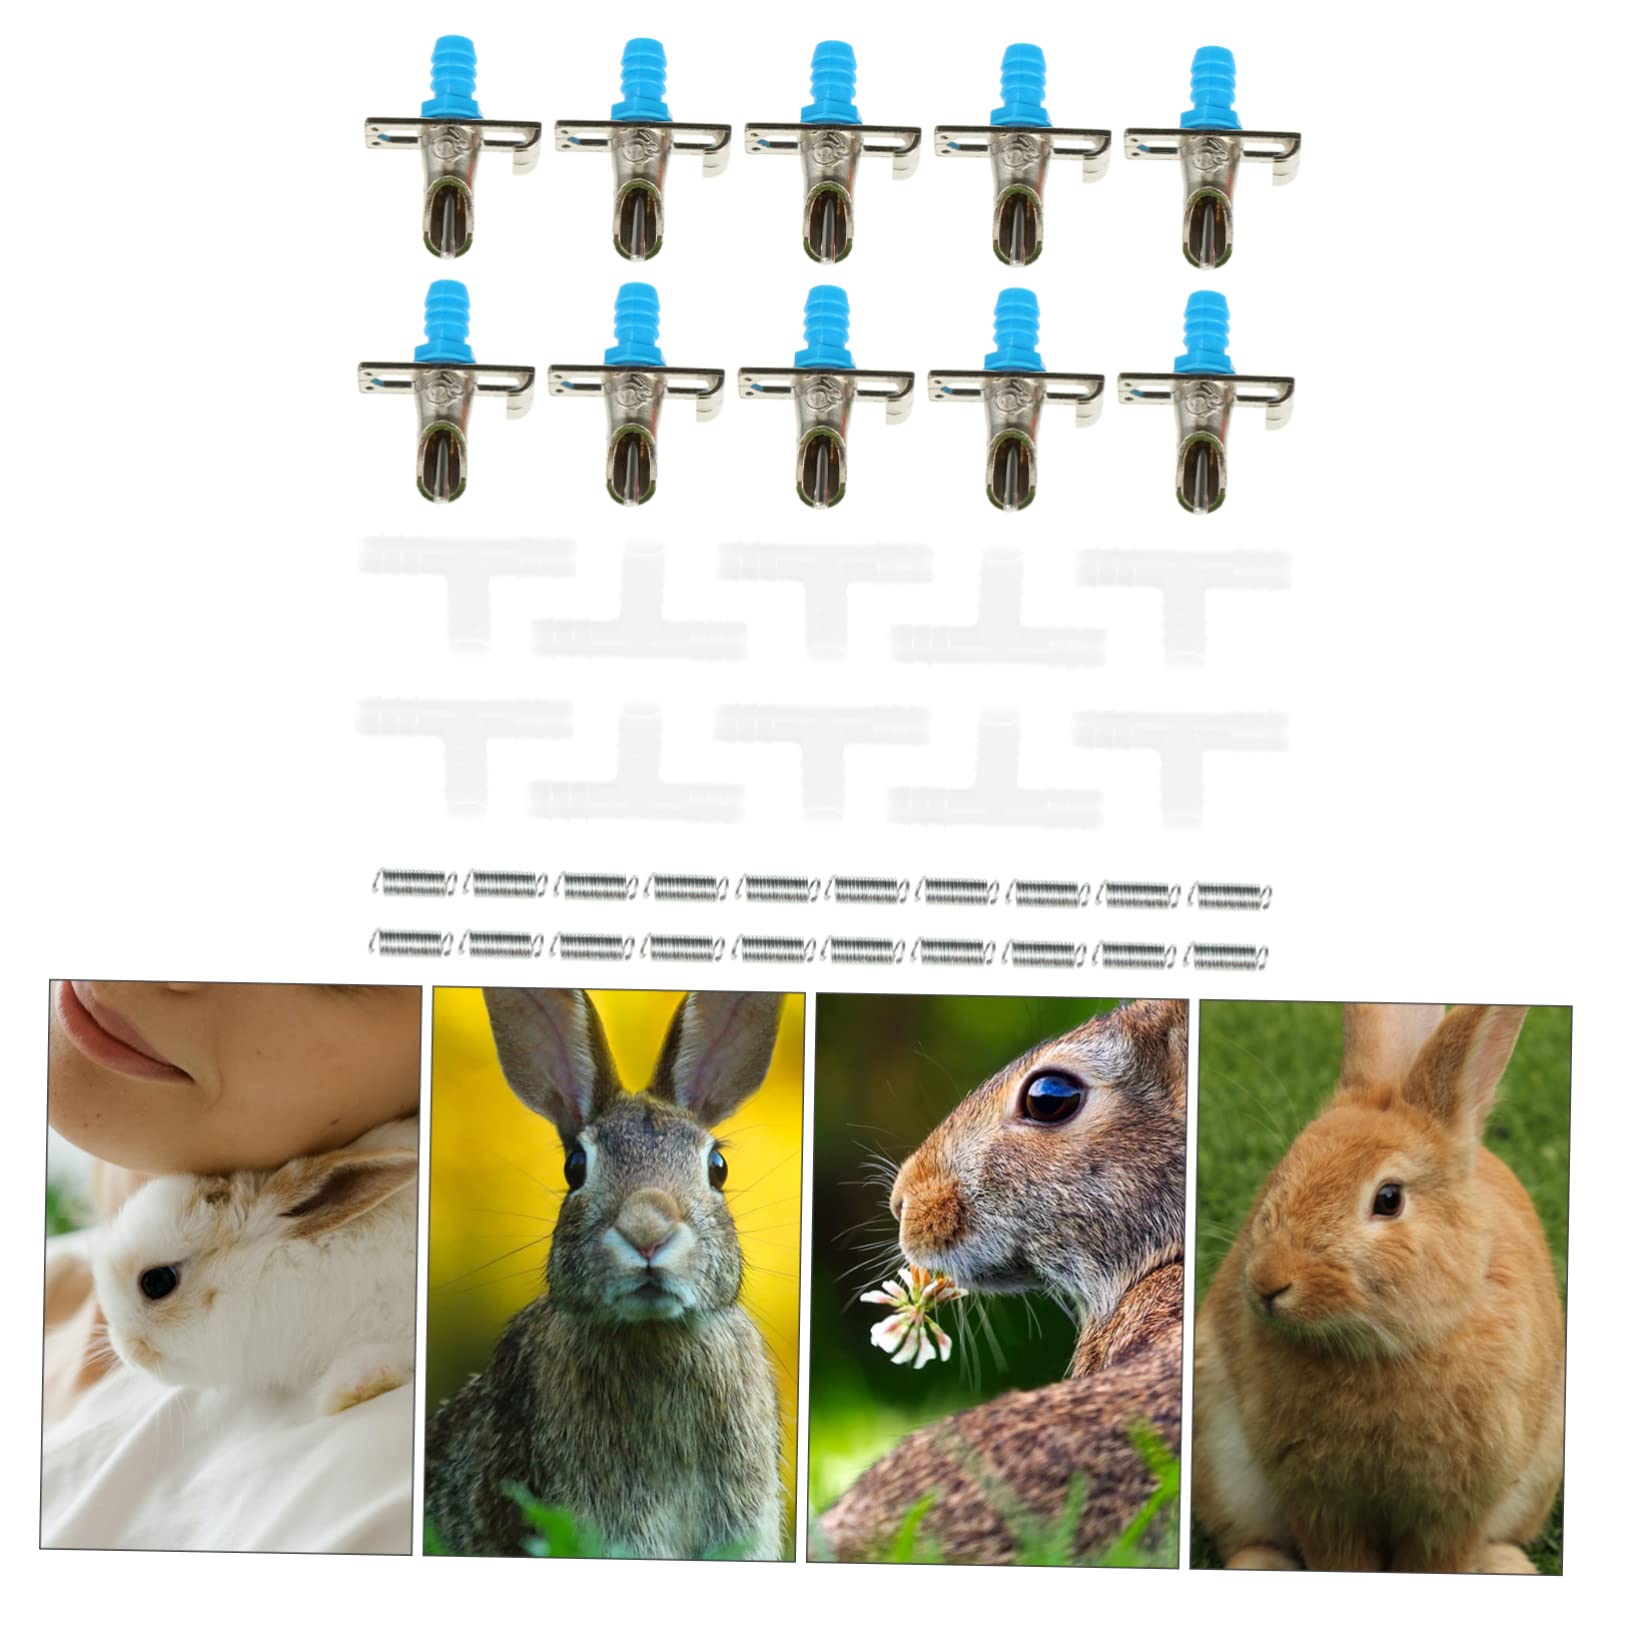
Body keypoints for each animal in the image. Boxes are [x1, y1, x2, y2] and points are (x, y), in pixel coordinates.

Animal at [1192, 1004, 1565, 1574]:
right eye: (1281, 1173)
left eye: (1388, 1199)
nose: (1268, 1282)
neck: (1381, 1350)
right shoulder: (1320, 1501)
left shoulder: (1454, 1509)